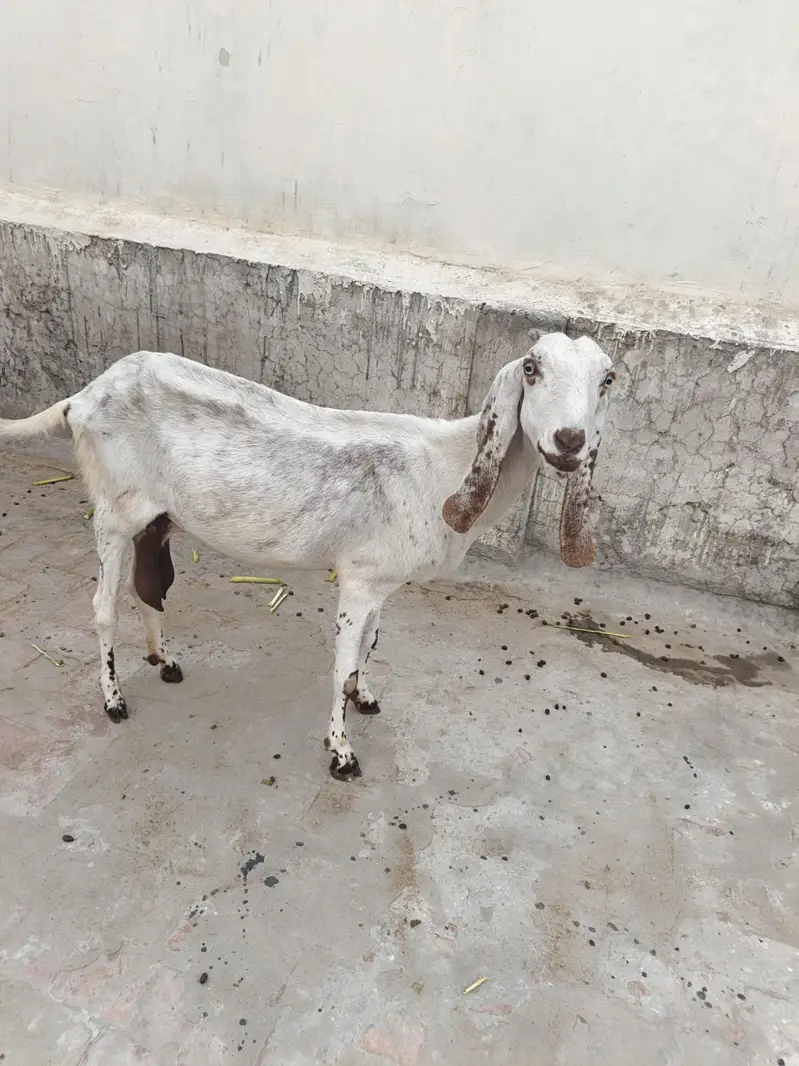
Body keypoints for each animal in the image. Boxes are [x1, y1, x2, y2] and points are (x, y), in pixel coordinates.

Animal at [0, 332, 615, 779]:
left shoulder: (383, 581)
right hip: (114, 509)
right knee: (103, 607)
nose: (569, 441)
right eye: (531, 368)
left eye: (608, 379)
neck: (447, 463)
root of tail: (83, 397)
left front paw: (364, 696)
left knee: (150, 586)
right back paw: (114, 700)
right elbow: (342, 658)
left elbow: (369, 645)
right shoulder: (359, 579)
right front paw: (341, 752)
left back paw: (165, 660)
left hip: (157, 519)